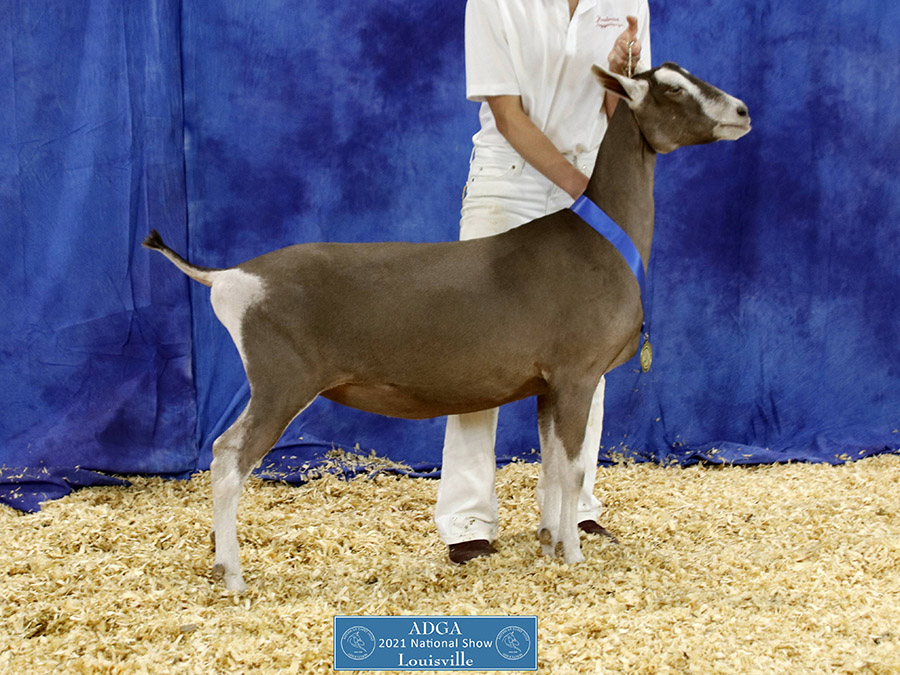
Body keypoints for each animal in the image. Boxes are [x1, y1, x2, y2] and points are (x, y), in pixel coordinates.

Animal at [144, 62, 750, 590]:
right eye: (671, 89)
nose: (743, 111)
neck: (602, 238)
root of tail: (229, 277)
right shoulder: (579, 373)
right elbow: (575, 469)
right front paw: (574, 556)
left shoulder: (548, 383)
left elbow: (553, 464)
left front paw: (550, 541)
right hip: (280, 381)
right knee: (226, 458)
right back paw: (232, 574)